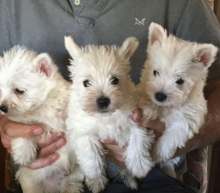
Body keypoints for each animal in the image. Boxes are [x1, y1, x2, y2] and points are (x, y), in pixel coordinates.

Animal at [0, 46, 84, 193]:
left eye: (19, 91)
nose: (2, 108)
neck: (43, 106)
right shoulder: (25, 122)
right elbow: (24, 129)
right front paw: (23, 153)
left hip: (79, 172)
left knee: (71, 181)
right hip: (30, 182)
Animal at [65, 37, 155, 192]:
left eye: (114, 80)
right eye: (86, 83)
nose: (103, 101)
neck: (106, 116)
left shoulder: (136, 120)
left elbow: (139, 139)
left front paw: (139, 166)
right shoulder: (82, 130)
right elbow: (90, 153)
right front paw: (95, 176)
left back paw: (130, 180)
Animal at [138, 23, 217, 178]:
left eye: (180, 81)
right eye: (155, 72)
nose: (160, 96)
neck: (168, 106)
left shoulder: (188, 119)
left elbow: (172, 137)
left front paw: (157, 153)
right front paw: (150, 107)